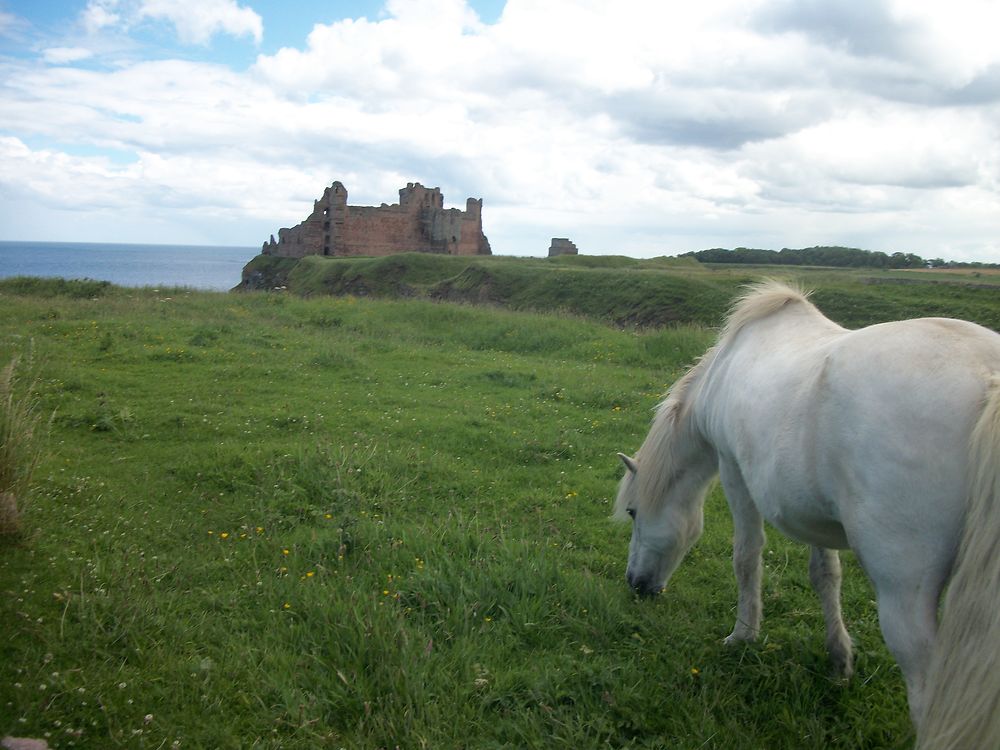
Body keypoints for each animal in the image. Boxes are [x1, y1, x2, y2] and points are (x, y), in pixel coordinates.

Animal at [612, 280, 1000, 748]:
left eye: (634, 512)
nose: (636, 584)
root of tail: (987, 376)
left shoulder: (733, 470)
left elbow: (746, 557)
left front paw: (743, 635)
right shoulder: (817, 513)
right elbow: (825, 576)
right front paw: (840, 660)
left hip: (905, 595)